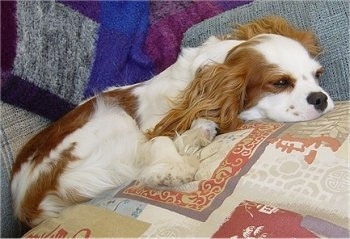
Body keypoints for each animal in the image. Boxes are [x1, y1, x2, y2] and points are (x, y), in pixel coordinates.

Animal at [10, 16, 334, 226]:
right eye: (280, 83)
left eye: (317, 75)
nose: (320, 98)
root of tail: (26, 200)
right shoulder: (146, 128)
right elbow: (159, 139)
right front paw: (173, 168)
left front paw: (197, 133)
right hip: (111, 118)